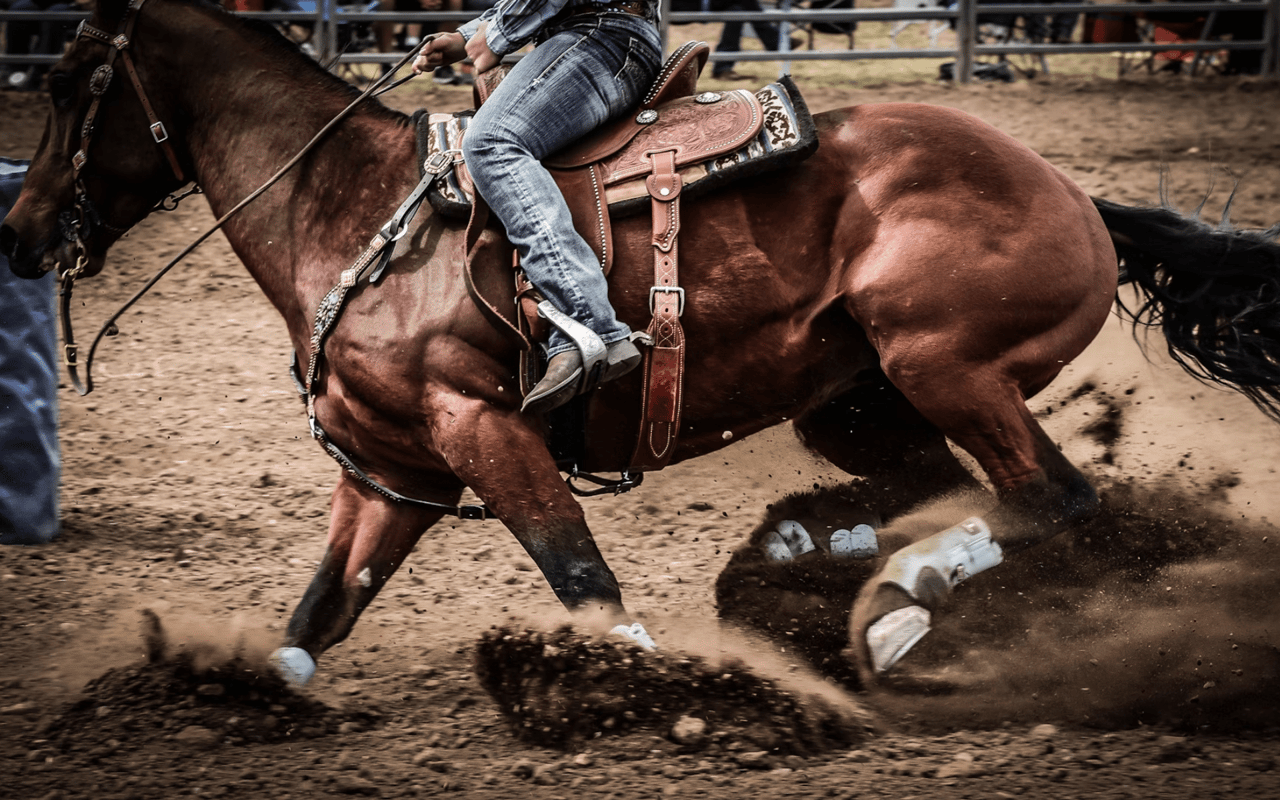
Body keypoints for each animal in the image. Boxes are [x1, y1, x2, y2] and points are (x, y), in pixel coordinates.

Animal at [2, 0, 1280, 686]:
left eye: (69, 82)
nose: (17, 232)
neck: (350, 207)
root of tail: (1073, 192)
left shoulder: (484, 431)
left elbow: (582, 583)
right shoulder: (396, 471)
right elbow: (318, 614)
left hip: (945, 366)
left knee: (1053, 501)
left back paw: (921, 596)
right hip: (858, 399)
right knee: (944, 491)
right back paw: (839, 556)